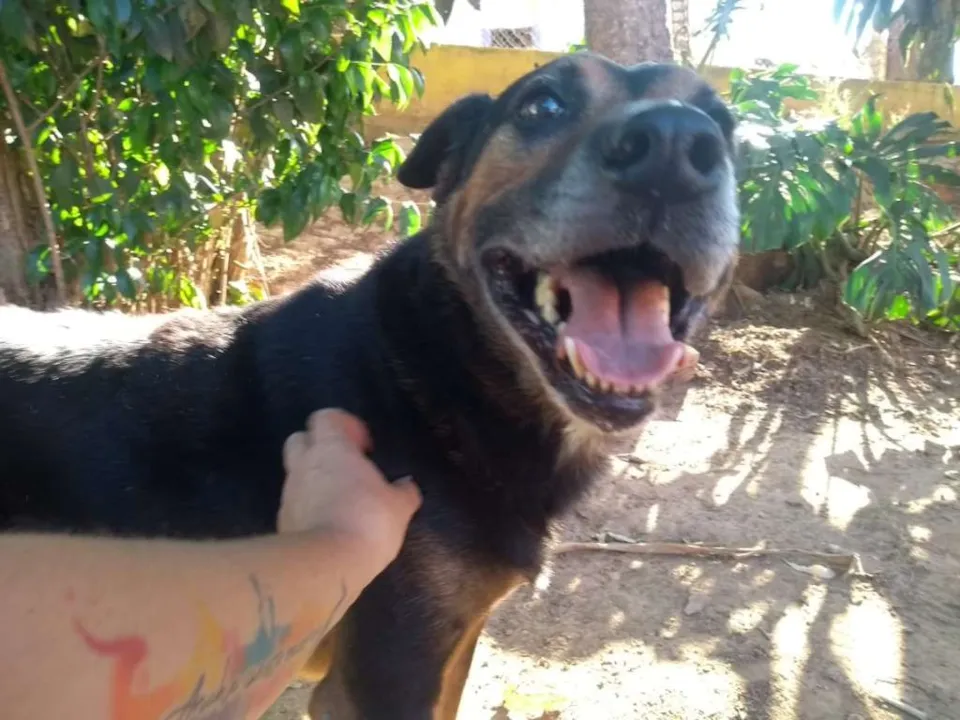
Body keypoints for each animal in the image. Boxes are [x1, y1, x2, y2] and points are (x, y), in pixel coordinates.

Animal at [0, 52, 739, 719]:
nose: (676, 145)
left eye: (726, 124)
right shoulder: (382, 678)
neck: (436, 371)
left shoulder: (455, 640)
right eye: (542, 105)